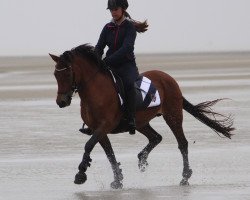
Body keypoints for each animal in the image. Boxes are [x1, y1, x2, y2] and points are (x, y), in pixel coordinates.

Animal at [49, 43, 234, 189]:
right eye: (55, 75)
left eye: (67, 74)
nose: (61, 101)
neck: (95, 90)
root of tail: (168, 78)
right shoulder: (98, 130)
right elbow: (109, 153)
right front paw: (118, 179)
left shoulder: (104, 126)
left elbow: (88, 145)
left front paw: (80, 173)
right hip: (141, 122)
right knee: (156, 137)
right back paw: (142, 159)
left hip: (173, 115)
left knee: (182, 143)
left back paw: (185, 177)